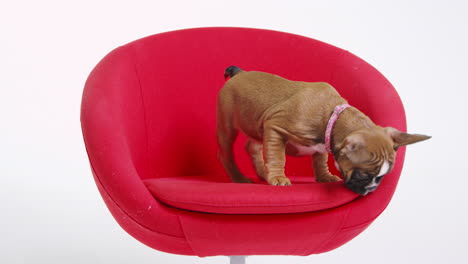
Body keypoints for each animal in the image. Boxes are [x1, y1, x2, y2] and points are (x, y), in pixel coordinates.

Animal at [218, 66, 430, 196]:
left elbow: (319, 160)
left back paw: (263, 172)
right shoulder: (275, 127)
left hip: (255, 126)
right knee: (227, 153)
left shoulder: (321, 144)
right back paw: (240, 178)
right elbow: (277, 156)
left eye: (381, 176)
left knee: (252, 146)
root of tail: (240, 73)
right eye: (363, 175)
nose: (370, 189)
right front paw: (278, 176)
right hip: (228, 125)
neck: (333, 115)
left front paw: (324, 177)